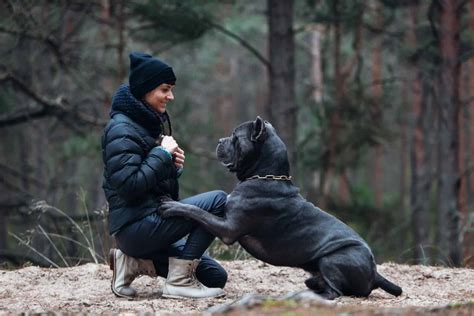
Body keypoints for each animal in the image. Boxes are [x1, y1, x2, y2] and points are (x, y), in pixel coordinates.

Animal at [160, 116, 404, 298]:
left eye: (235, 137)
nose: (220, 140)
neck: (266, 176)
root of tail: (375, 272)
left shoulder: (228, 228)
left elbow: (198, 211)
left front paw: (171, 205)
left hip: (333, 258)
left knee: (335, 292)